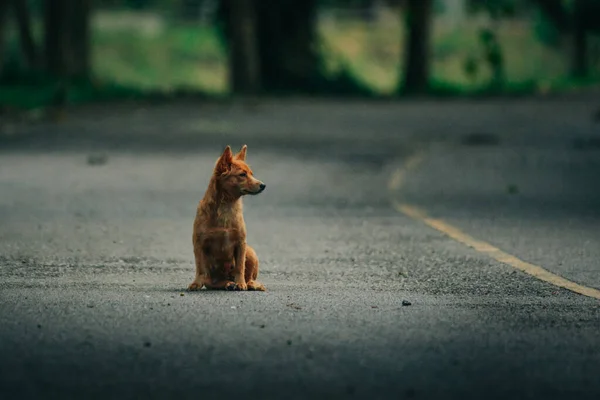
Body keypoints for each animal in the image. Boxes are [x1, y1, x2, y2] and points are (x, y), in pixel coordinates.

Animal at [189, 145, 266, 292]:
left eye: (252, 174)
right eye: (242, 175)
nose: (263, 185)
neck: (226, 207)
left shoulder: (241, 243)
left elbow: (240, 267)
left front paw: (241, 284)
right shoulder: (199, 244)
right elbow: (200, 268)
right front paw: (196, 283)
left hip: (250, 252)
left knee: (249, 277)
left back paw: (249, 284)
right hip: (214, 277)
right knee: (214, 281)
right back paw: (228, 284)